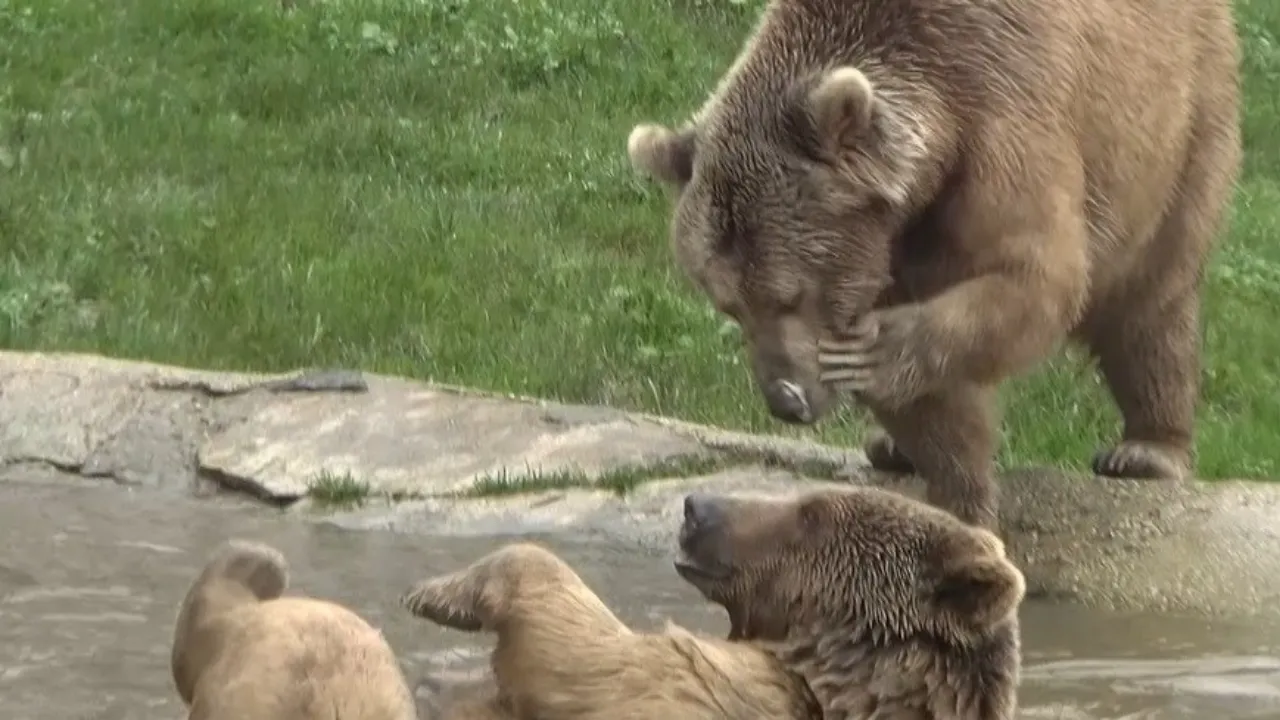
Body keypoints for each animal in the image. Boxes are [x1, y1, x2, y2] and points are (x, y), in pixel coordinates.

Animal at [619, 0, 1239, 527]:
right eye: (729, 305)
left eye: (789, 295)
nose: (786, 400)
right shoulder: (888, 240)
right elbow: (937, 406)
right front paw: (960, 495)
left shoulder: (1003, 117)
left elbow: (1036, 276)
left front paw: (875, 353)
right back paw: (890, 447)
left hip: (1180, 121)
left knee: (1152, 298)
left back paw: (1148, 448)